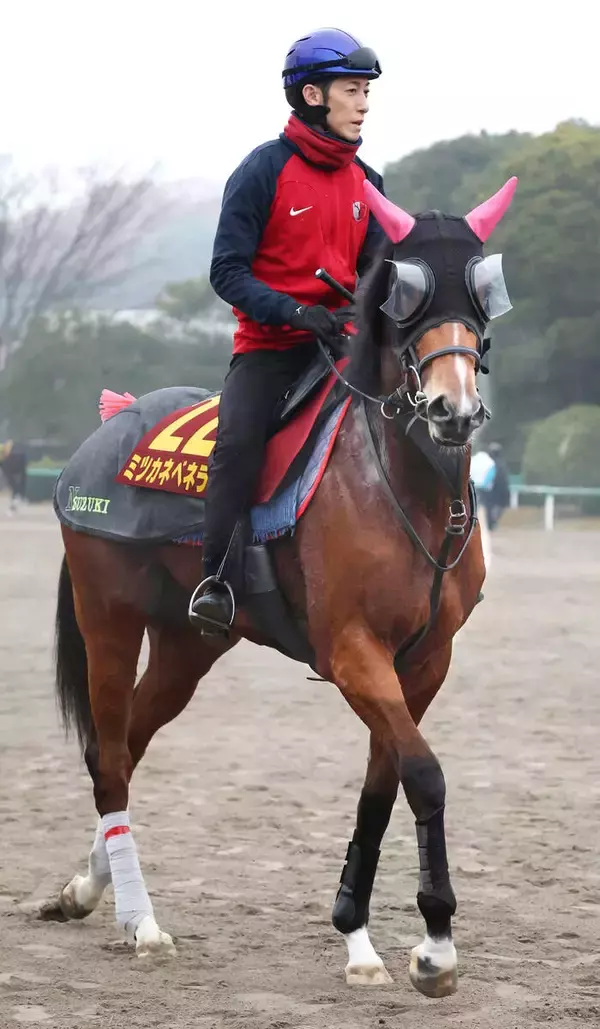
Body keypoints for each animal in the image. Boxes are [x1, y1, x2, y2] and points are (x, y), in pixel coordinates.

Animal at [42, 175, 518, 998]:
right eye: (407, 294)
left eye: (482, 292)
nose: (451, 410)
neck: (408, 488)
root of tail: (108, 426)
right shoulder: (353, 653)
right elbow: (424, 775)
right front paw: (434, 946)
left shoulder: (424, 663)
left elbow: (384, 783)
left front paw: (358, 933)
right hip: (109, 619)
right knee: (110, 758)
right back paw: (141, 922)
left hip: (187, 646)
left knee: (124, 746)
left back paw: (86, 889)